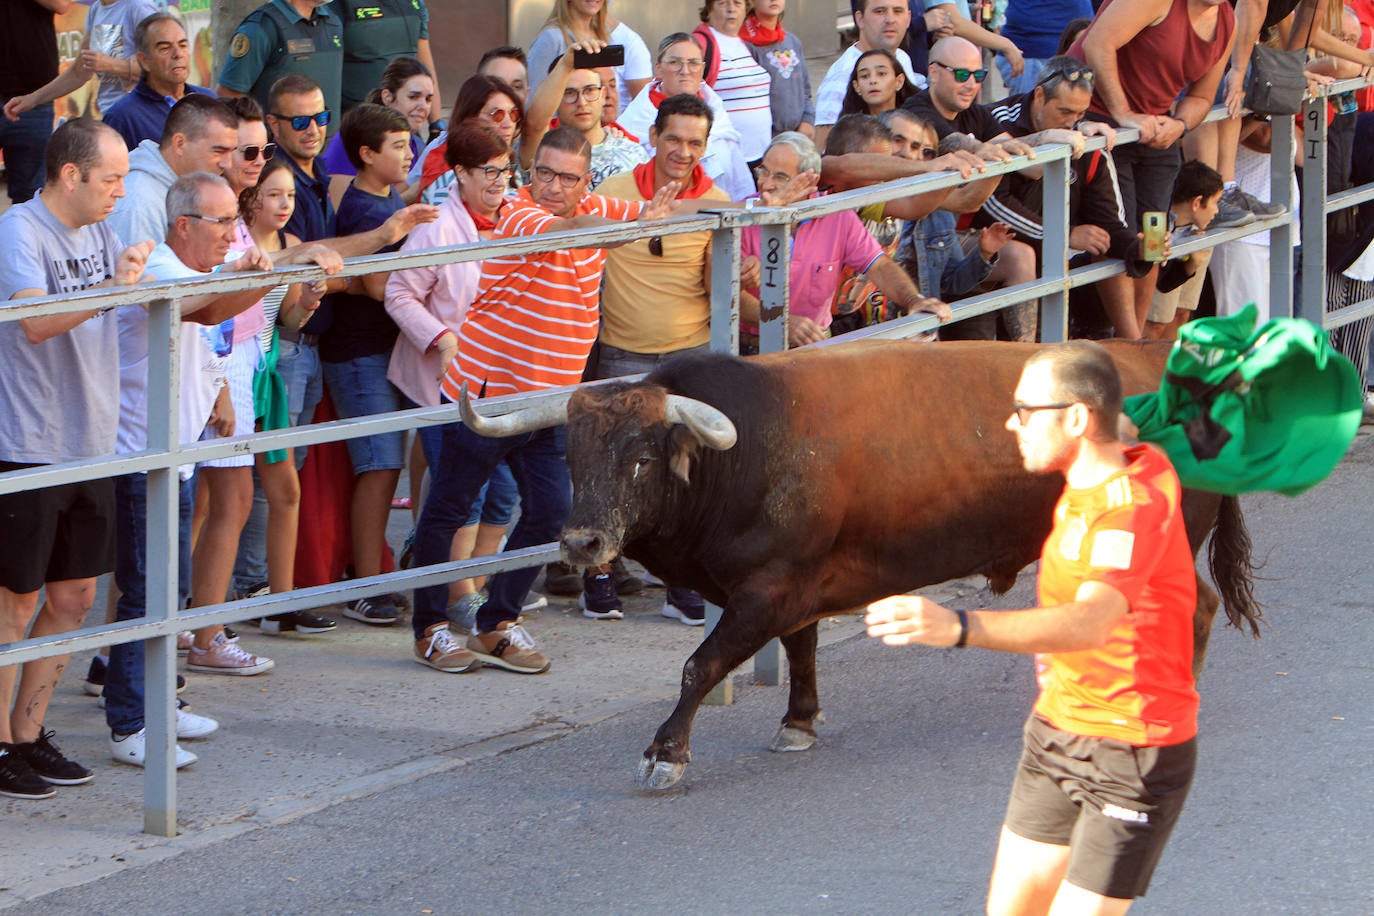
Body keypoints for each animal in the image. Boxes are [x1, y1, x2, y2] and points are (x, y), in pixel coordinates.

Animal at [458, 340, 1258, 791]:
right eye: (572, 454)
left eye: (643, 458)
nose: (582, 544)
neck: (747, 453)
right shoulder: (794, 588)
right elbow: (802, 651)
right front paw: (799, 722)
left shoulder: (767, 589)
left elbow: (700, 666)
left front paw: (667, 753)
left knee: (1196, 608)